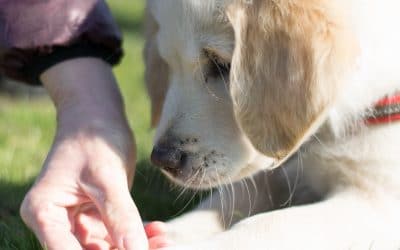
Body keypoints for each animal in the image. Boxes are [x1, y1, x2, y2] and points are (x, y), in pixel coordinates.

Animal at [144, 0, 400, 249]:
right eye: (167, 62)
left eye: (221, 64)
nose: (163, 159)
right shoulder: (272, 171)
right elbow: (224, 200)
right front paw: (169, 232)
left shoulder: (377, 199)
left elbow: (270, 223)